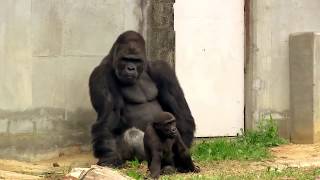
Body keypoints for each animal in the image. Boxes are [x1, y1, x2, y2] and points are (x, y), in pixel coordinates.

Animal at [89, 30, 196, 167]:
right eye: (125, 59)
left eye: (136, 60)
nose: (130, 68)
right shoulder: (101, 75)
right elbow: (108, 121)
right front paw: (109, 156)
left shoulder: (163, 69)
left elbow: (180, 113)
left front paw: (182, 148)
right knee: (133, 135)